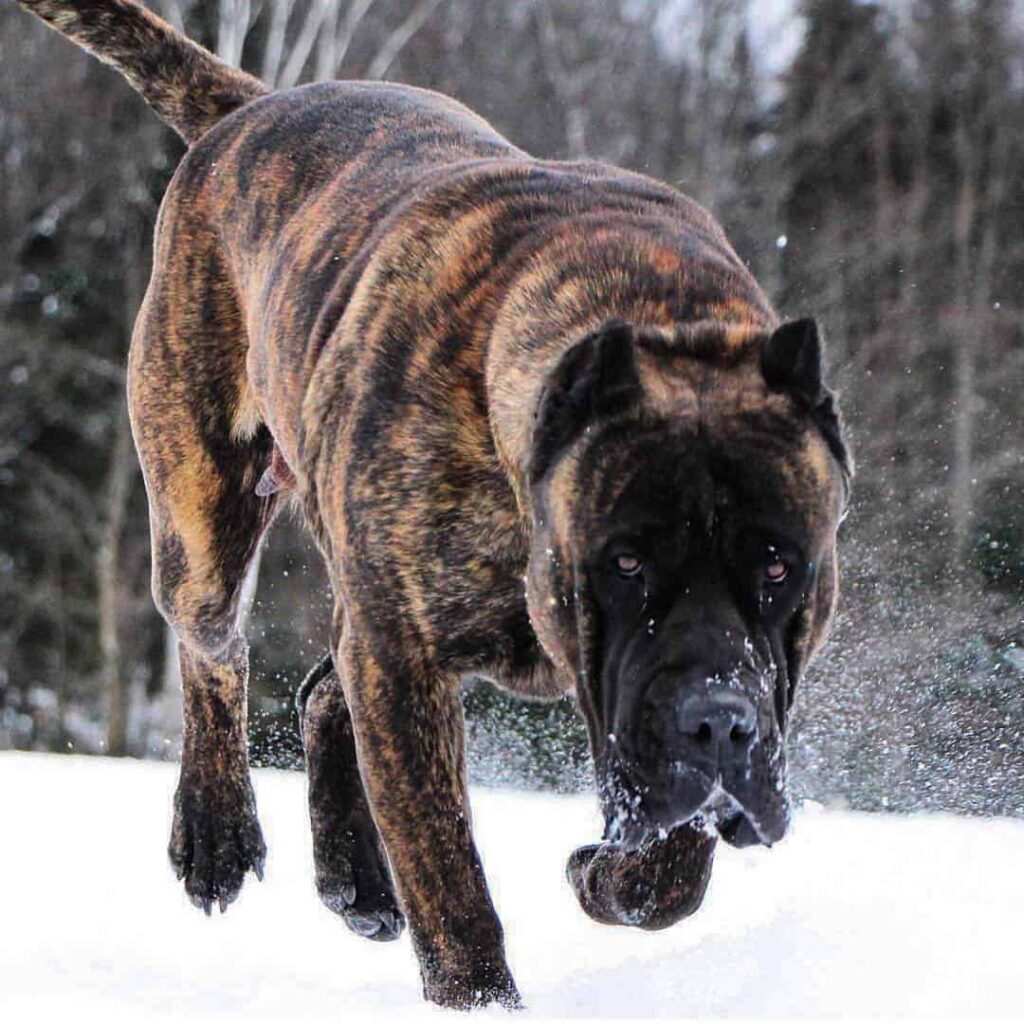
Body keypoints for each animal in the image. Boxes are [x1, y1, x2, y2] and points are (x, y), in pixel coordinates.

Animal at [16, 0, 851, 1007]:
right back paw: (217, 833)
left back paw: (355, 880)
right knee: (215, 648)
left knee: (318, 690)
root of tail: (251, 107)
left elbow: (673, 867)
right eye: (624, 563)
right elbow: (446, 868)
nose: (719, 723)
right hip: (203, 505)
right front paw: (479, 998)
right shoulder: (405, 659)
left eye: (779, 566)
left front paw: (612, 877)